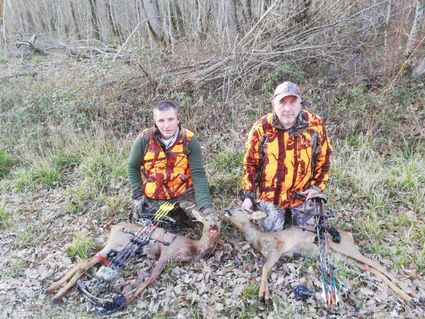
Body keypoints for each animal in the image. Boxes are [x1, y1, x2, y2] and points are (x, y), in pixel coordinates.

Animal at [46, 209, 220, 308]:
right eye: (206, 220)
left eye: (218, 218)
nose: (213, 226)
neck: (196, 248)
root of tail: (113, 227)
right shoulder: (167, 252)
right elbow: (151, 277)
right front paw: (125, 300)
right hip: (116, 245)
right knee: (86, 263)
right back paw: (55, 293)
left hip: (114, 249)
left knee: (85, 261)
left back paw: (53, 290)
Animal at [225, 208, 420, 304]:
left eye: (239, 209)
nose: (226, 211)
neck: (258, 239)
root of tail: (349, 235)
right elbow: (265, 268)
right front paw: (264, 294)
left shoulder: (277, 250)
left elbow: (265, 268)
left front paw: (263, 295)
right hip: (344, 258)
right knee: (371, 268)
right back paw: (410, 297)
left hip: (345, 248)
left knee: (376, 264)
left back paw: (412, 293)